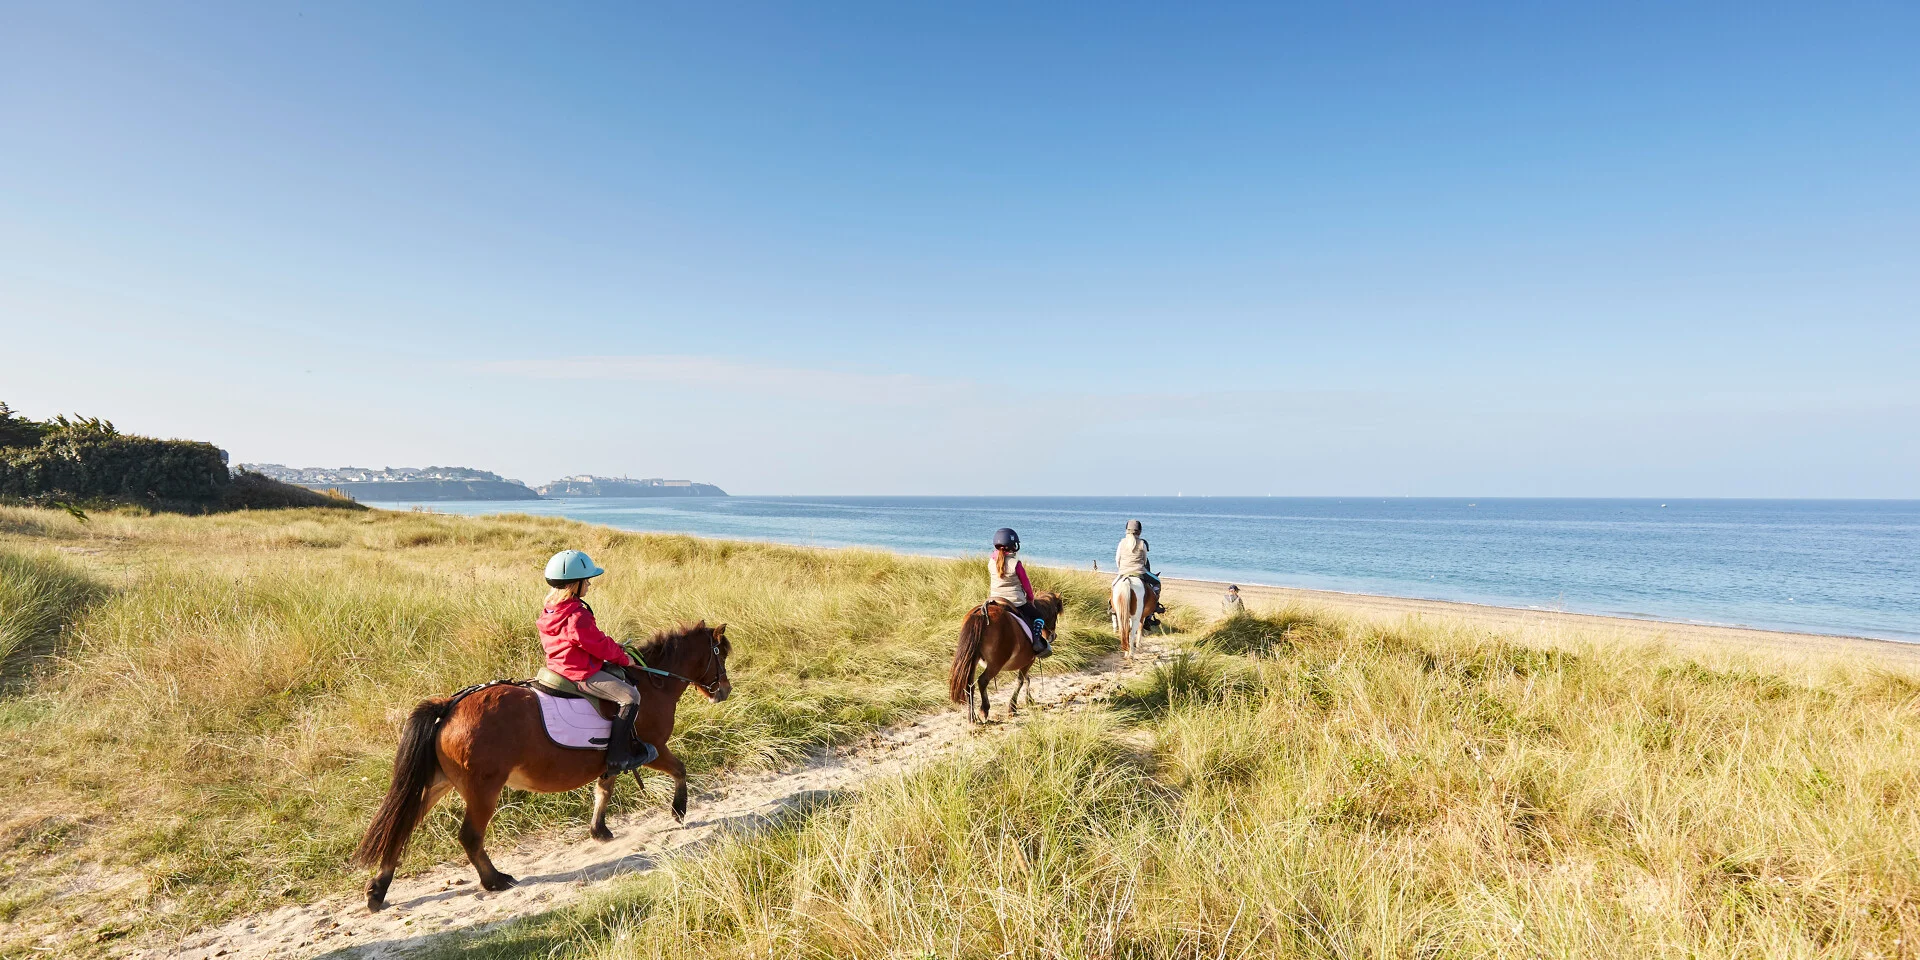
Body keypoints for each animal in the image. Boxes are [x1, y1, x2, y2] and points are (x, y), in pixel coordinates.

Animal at [352, 621, 733, 912]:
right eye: (721, 654)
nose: (725, 691)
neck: (652, 682)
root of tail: (449, 705)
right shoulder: (654, 749)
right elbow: (680, 769)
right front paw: (679, 810)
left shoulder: (610, 760)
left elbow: (603, 790)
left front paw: (599, 831)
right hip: (483, 788)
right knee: (470, 836)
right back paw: (494, 880)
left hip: (437, 783)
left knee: (401, 827)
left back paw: (378, 890)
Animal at [948, 591, 1063, 724]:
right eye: (1055, 614)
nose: (1053, 636)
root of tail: (981, 613)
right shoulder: (1028, 660)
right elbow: (1021, 681)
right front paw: (1012, 707)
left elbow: (1026, 679)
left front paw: (1029, 700)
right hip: (996, 662)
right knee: (982, 681)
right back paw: (984, 711)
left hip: (973, 660)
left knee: (969, 684)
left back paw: (971, 717)